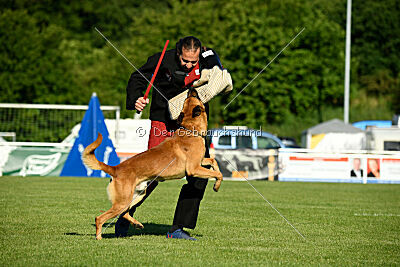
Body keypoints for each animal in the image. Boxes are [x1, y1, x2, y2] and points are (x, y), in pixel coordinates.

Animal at [82, 88, 223, 241]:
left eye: (188, 98)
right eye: (192, 97)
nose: (191, 89)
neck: (190, 129)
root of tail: (115, 168)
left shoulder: (200, 162)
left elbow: (213, 161)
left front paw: (216, 181)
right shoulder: (194, 169)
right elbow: (218, 174)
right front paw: (216, 185)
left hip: (137, 195)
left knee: (125, 213)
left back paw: (136, 224)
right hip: (122, 201)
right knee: (100, 218)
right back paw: (99, 237)